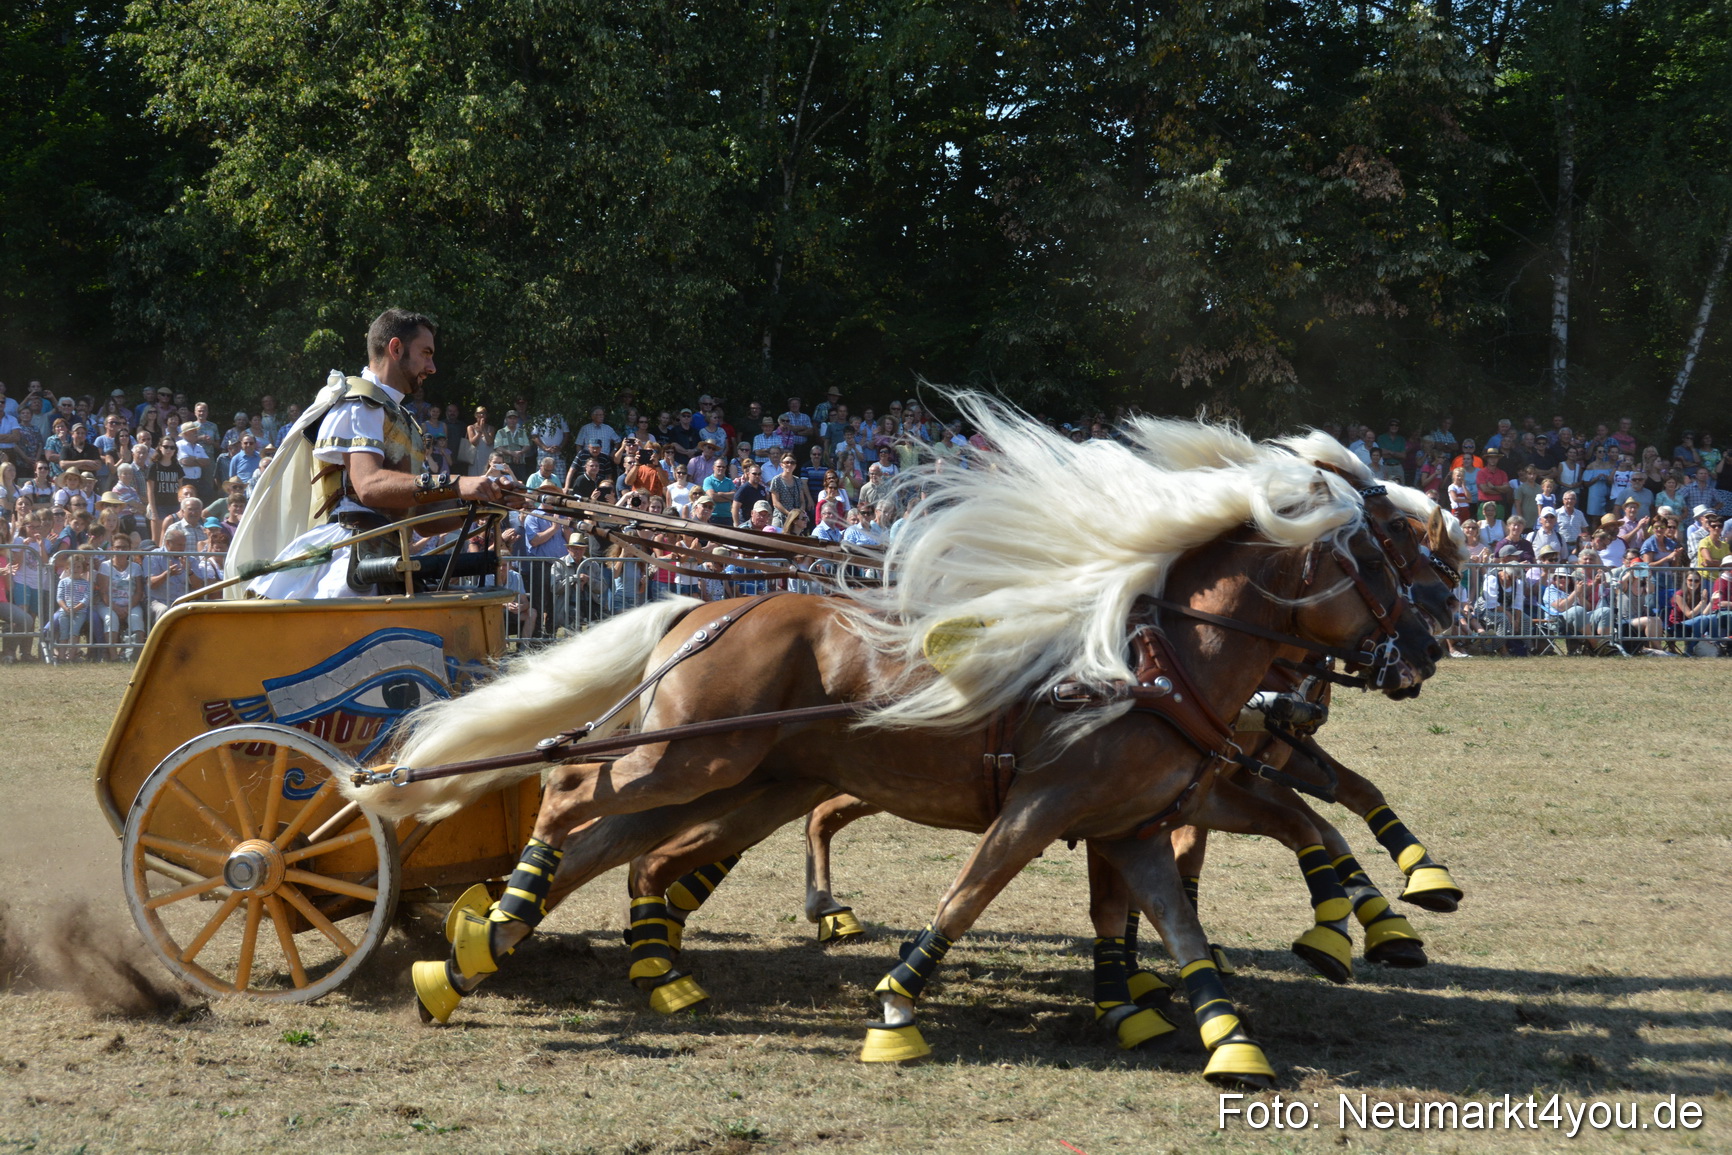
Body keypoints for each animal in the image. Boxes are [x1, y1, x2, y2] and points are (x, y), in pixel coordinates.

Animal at [345, 400, 1448, 1088]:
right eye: (1378, 555)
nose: (1426, 647)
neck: (1150, 657)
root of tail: (710, 609)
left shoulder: (1139, 815)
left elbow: (1182, 915)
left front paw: (1223, 1032)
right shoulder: (1049, 802)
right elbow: (971, 895)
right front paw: (896, 1012)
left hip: (736, 780)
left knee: (628, 848)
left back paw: (493, 953)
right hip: (693, 757)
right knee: (572, 794)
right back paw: (497, 925)